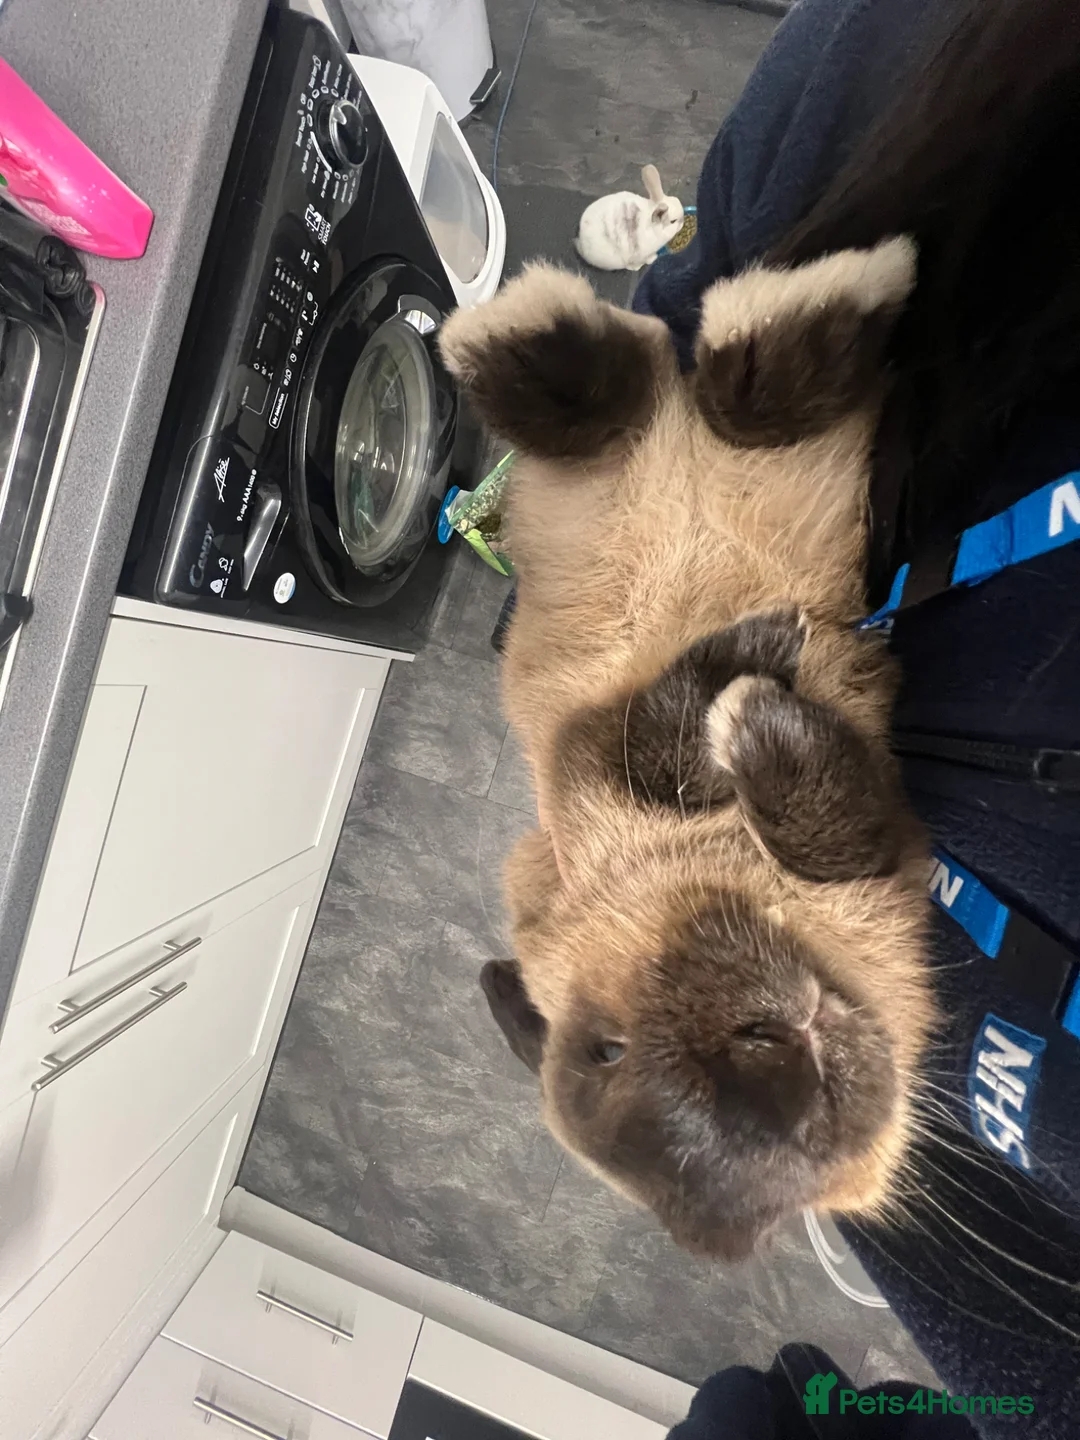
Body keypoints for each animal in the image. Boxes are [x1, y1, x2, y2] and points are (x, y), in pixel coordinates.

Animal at [438, 241, 936, 1262]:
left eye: (606, 1048)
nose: (782, 1056)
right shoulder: (584, 765)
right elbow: (692, 750)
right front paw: (751, 701)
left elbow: (698, 754)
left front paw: (757, 672)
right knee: (668, 378)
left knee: (679, 382)